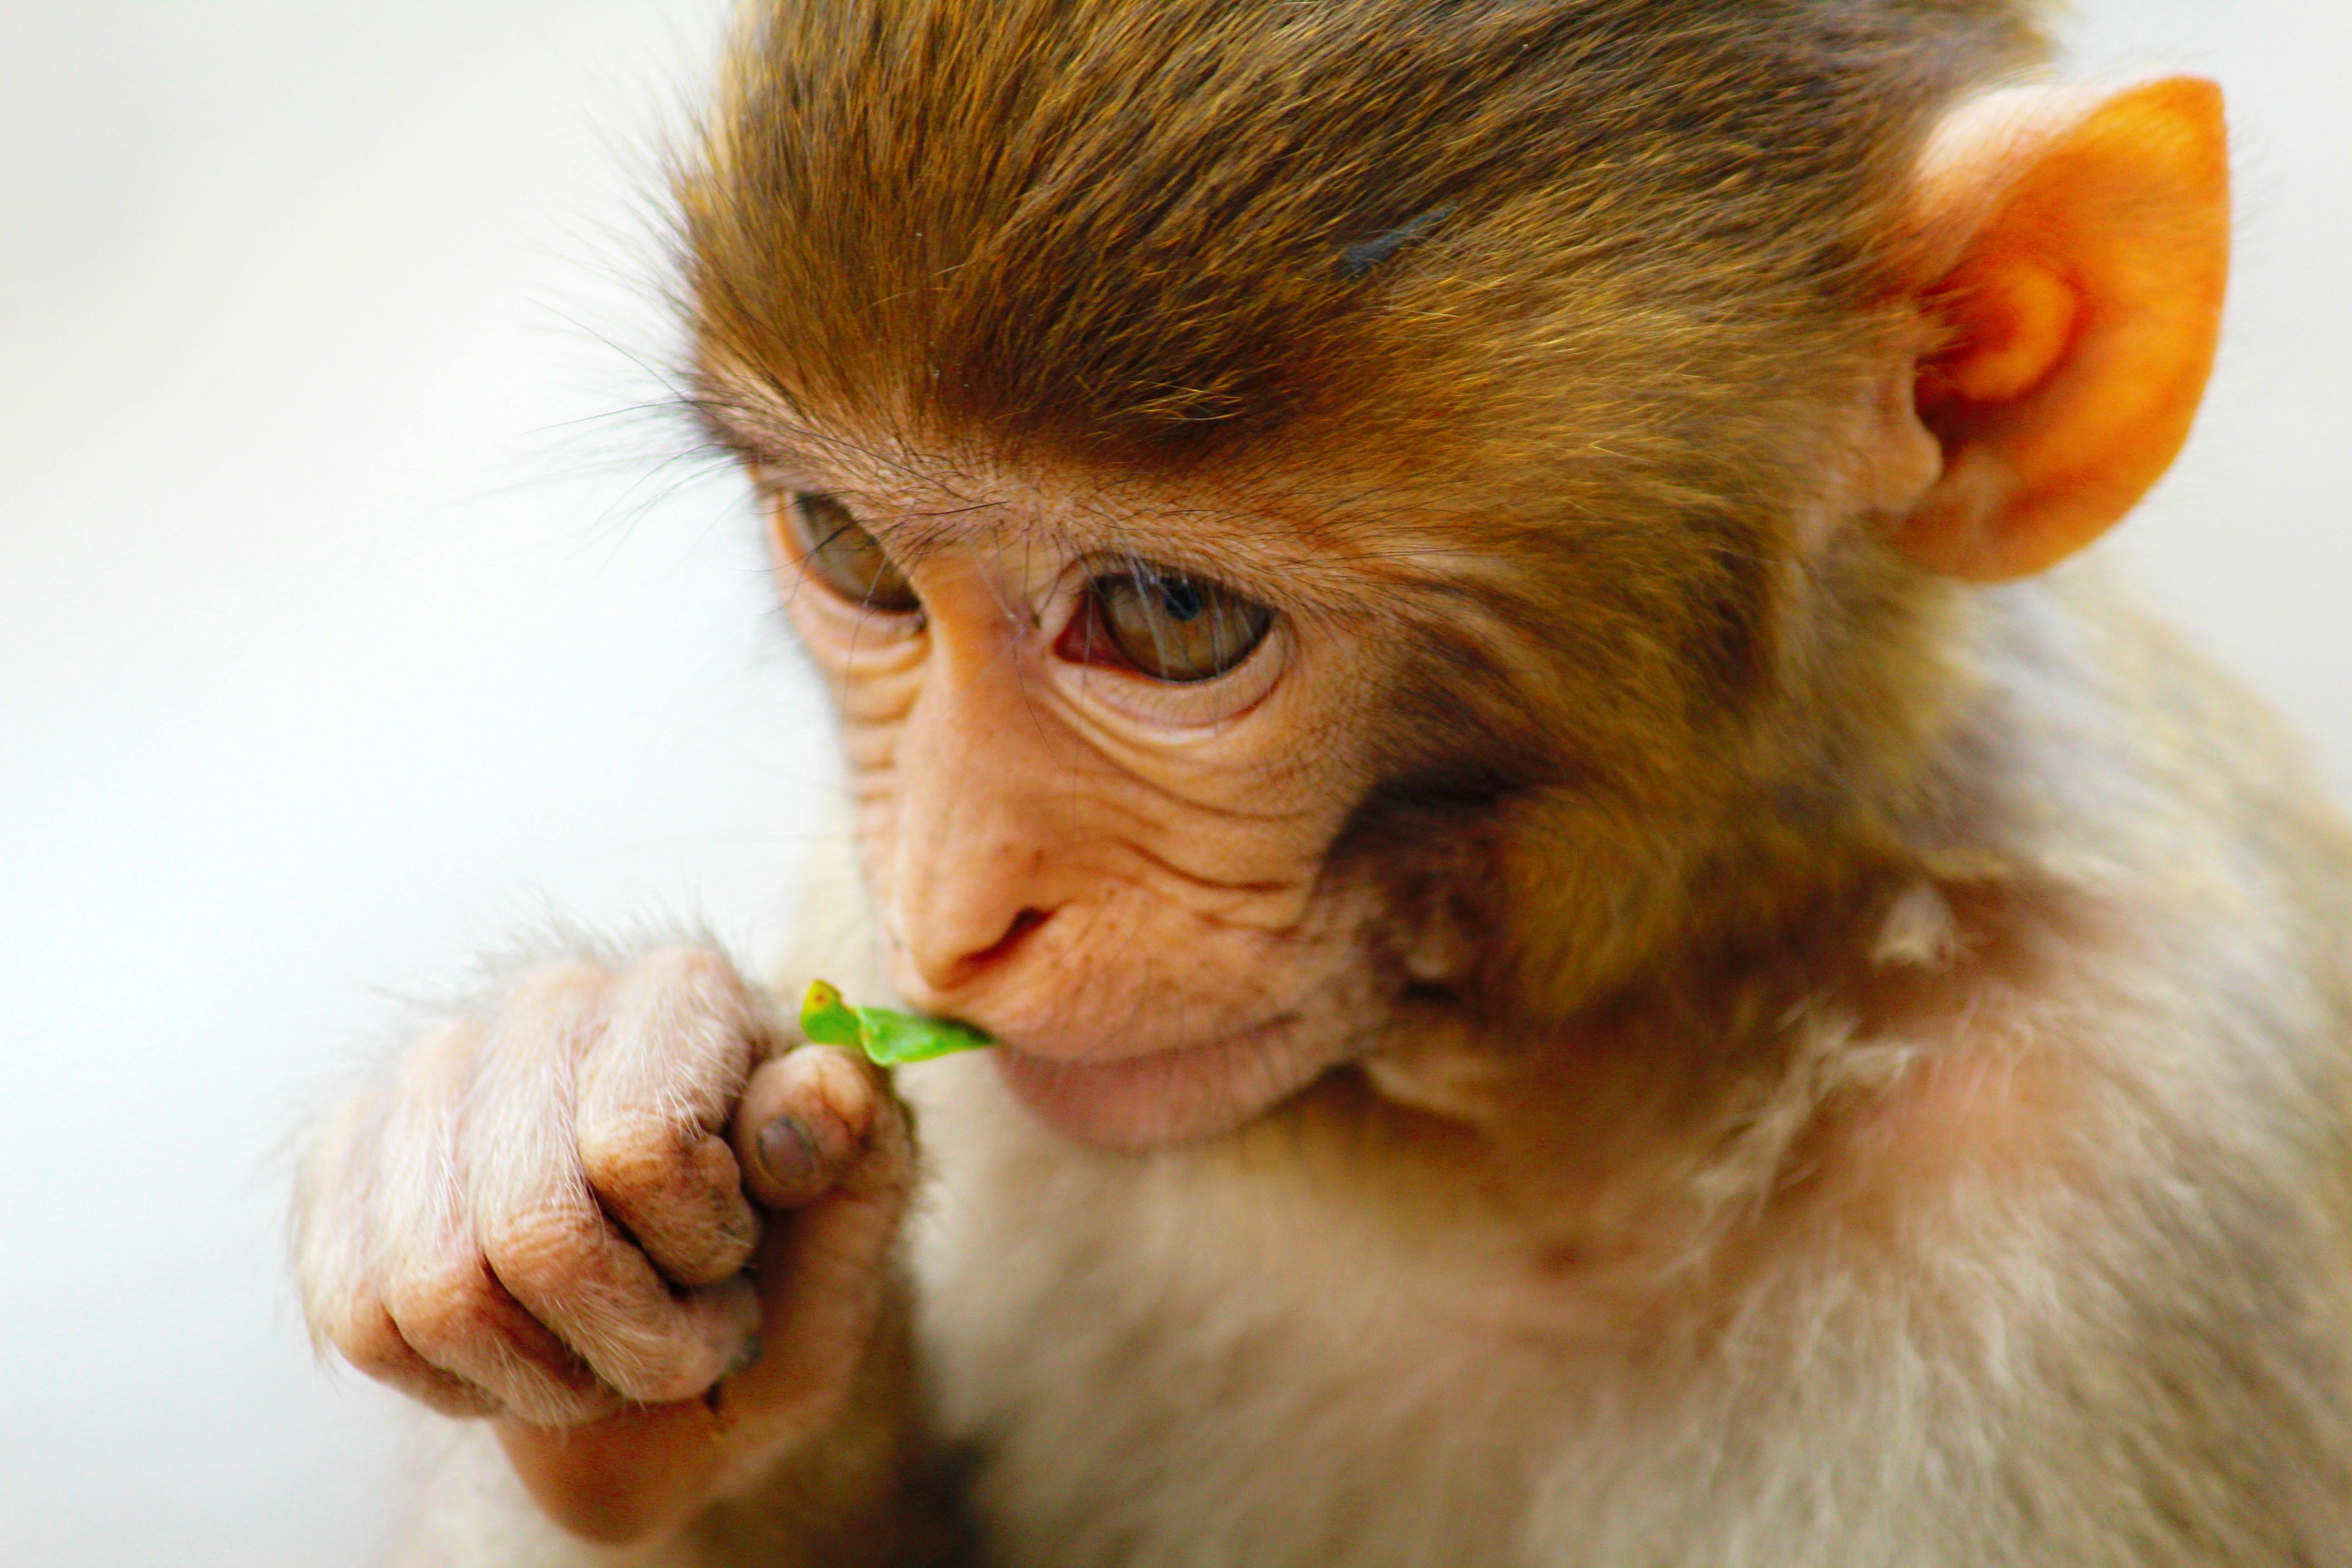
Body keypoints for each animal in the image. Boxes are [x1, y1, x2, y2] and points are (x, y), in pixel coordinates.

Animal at [289, 3, 2352, 1568]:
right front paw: (551, 1118)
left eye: (1168, 617)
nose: (949, 907)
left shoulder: (2124, 1170)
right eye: (850, 551)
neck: (1535, 1114)